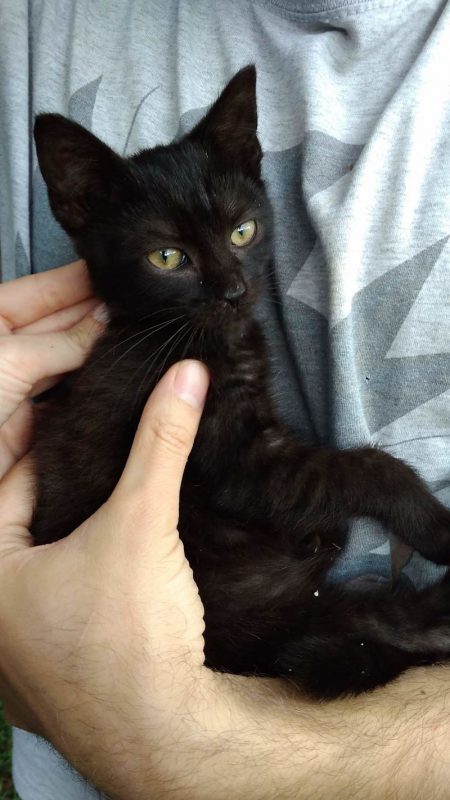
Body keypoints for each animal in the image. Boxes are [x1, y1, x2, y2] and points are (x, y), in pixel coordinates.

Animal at [32, 66, 450, 698]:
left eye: (242, 232)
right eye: (167, 257)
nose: (232, 291)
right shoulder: (238, 463)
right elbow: (361, 467)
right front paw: (431, 519)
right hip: (265, 604)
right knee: (386, 624)